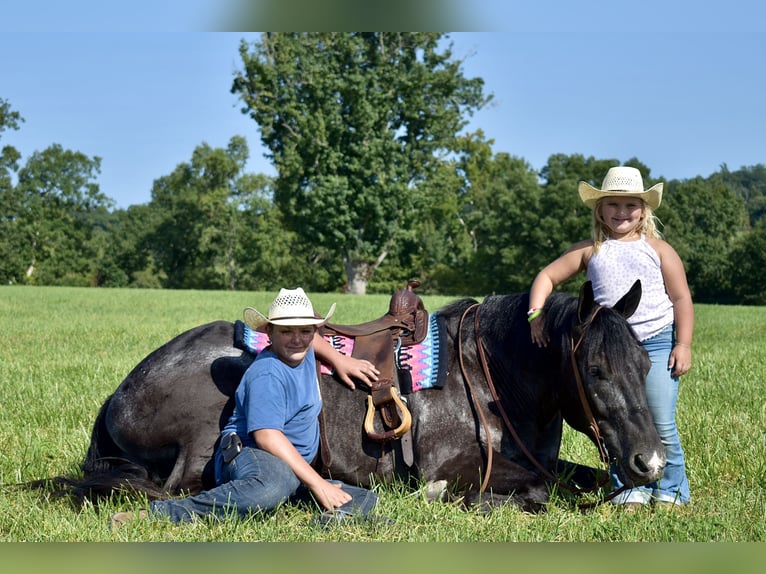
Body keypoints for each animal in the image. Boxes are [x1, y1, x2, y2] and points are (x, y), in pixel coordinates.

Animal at [40, 280, 664, 512]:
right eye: (596, 368)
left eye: (644, 362)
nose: (650, 462)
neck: (491, 382)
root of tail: (119, 395)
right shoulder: (453, 470)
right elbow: (538, 489)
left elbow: (577, 478)